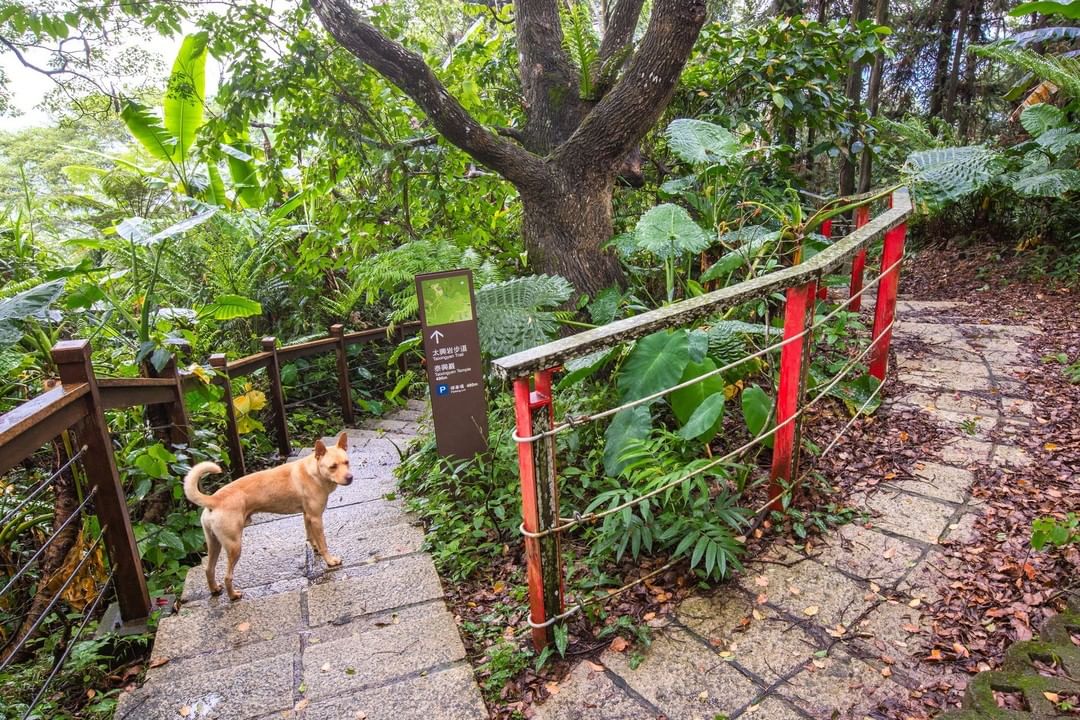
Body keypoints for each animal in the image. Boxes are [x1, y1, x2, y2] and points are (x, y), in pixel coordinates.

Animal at [183, 433, 352, 604]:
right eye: (333, 466)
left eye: (347, 462)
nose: (350, 477)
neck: (314, 471)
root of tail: (214, 499)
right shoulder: (316, 518)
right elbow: (323, 543)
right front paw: (330, 561)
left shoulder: (308, 516)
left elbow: (311, 536)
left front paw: (314, 547)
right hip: (234, 546)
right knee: (227, 576)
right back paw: (233, 596)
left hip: (214, 543)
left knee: (208, 569)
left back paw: (215, 589)